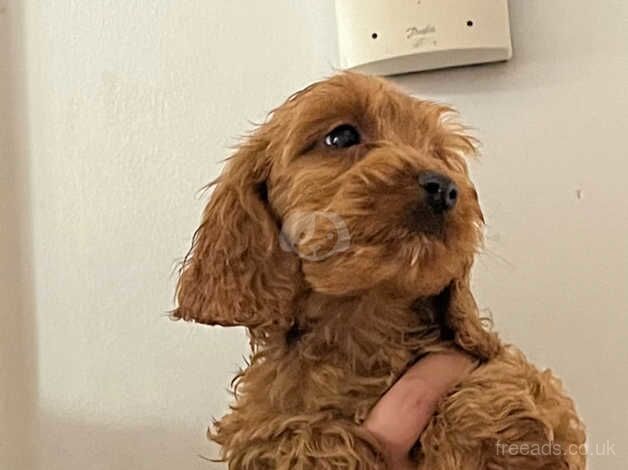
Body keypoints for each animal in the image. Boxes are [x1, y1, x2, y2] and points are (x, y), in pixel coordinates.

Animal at [174, 73, 588, 470]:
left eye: (439, 155)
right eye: (341, 136)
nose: (444, 187)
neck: (366, 318)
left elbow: (512, 378)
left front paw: (492, 444)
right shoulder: (254, 424)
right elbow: (292, 433)